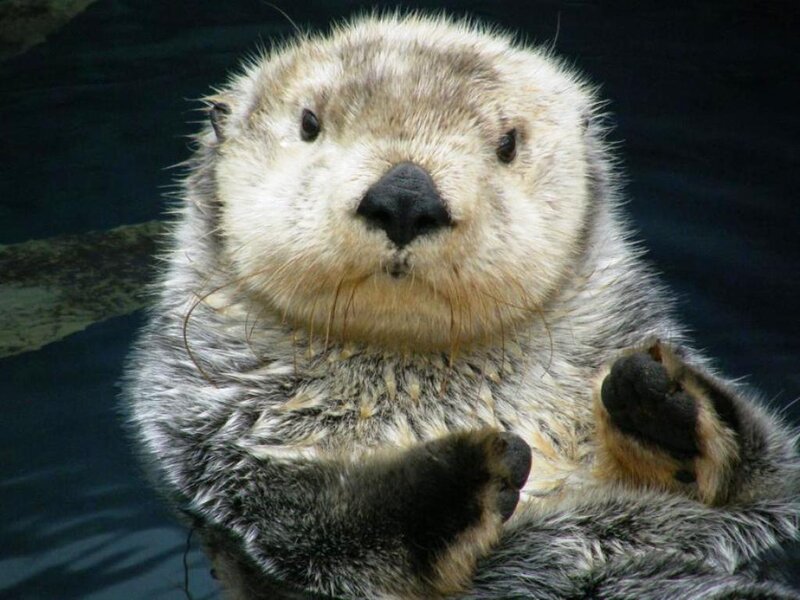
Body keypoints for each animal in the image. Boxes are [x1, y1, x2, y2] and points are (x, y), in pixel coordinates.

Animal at [125, 14, 800, 599]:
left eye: (507, 143)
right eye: (309, 123)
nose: (405, 195)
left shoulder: (760, 507)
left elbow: (767, 483)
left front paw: (657, 394)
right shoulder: (218, 450)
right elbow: (323, 529)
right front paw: (472, 468)